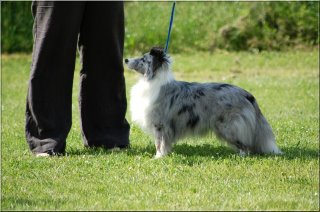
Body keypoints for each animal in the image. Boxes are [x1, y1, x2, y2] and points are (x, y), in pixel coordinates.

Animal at [124, 47, 282, 158]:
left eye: (143, 59)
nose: (125, 59)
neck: (151, 80)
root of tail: (248, 95)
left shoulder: (160, 124)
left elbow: (159, 142)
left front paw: (158, 157)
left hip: (229, 126)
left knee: (245, 147)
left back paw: (240, 156)